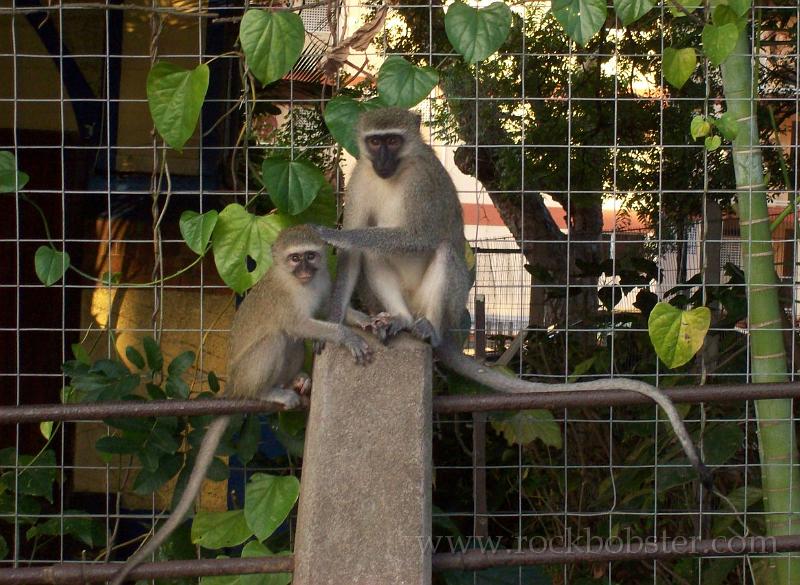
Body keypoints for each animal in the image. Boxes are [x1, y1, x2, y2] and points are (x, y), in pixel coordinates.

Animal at [111, 225, 370, 584]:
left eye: (310, 255)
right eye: (294, 259)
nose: (305, 270)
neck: (299, 283)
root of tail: (234, 383)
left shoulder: (323, 278)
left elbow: (330, 311)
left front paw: (369, 320)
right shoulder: (284, 299)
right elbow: (301, 324)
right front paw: (345, 336)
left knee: (289, 342)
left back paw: (295, 381)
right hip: (248, 373)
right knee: (279, 337)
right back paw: (268, 392)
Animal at [312, 106, 712, 488]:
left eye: (393, 141)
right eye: (375, 142)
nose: (382, 161)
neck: (392, 175)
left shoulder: (423, 181)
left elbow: (417, 236)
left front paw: (334, 236)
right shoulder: (360, 180)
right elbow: (355, 255)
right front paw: (335, 323)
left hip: (443, 304)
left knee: (443, 250)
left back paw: (428, 331)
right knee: (375, 256)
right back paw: (397, 320)